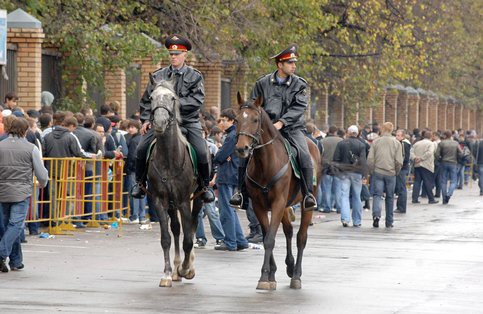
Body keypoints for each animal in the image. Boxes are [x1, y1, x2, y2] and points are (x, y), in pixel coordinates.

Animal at [150, 79, 205, 288]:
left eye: (173, 98)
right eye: (151, 97)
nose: (159, 122)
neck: (168, 159)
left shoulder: (183, 201)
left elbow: (188, 240)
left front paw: (186, 269)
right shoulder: (159, 200)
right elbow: (166, 238)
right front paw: (167, 274)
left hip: (197, 199)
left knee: (192, 226)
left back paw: (187, 267)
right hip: (171, 204)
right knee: (175, 229)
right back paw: (175, 270)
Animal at [235, 93, 322, 290]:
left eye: (255, 119)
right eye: (237, 119)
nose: (242, 148)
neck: (265, 163)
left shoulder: (277, 203)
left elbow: (269, 239)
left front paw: (264, 277)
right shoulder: (259, 206)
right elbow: (268, 236)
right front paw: (271, 274)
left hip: (305, 205)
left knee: (301, 237)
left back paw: (296, 275)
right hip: (285, 206)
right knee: (289, 231)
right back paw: (289, 266)